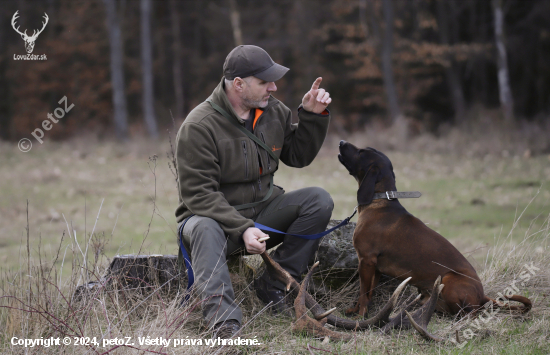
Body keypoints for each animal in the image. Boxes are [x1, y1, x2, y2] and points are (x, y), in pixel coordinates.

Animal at [338, 141, 532, 318]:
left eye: (361, 152)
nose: (341, 142)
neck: (379, 201)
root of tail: (482, 295)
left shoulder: (366, 260)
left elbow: (363, 293)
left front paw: (360, 316)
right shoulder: (375, 267)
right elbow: (368, 293)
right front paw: (357, 311)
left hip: (448, 280)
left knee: (472, 312)